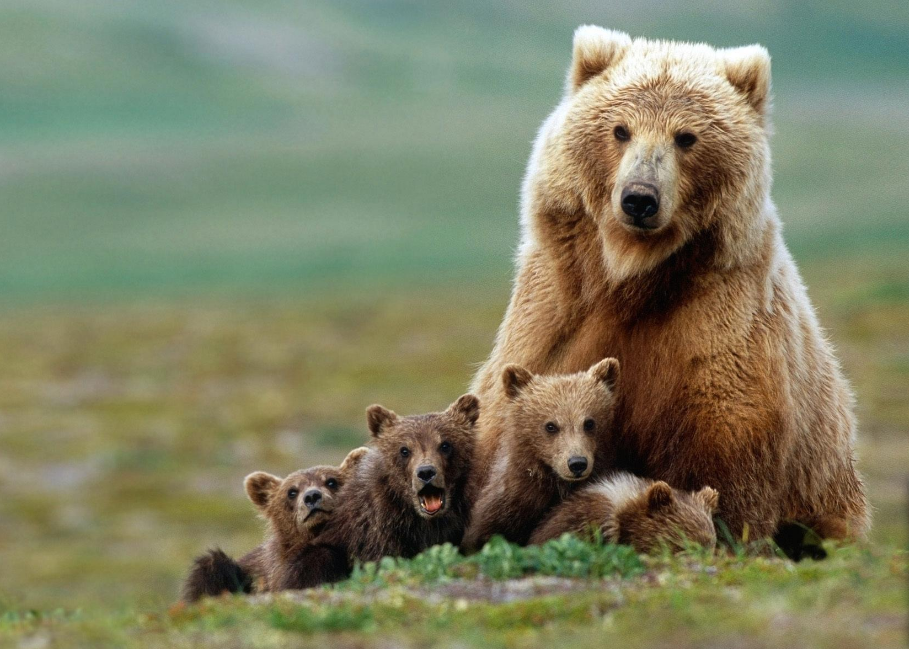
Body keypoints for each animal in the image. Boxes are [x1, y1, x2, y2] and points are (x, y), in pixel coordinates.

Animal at [472, 25, 868, 540]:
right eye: (620, 129)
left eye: (686, 137)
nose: (640, 198)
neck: (632, 276)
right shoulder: (554, 314)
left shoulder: (717, 330)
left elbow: (724, 463)